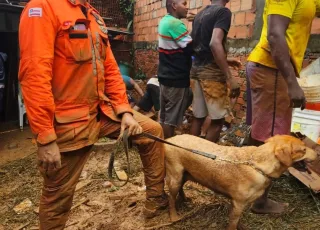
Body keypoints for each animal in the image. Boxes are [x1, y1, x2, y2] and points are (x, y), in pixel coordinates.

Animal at [165, 135, 318, 230]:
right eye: (303, 149)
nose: (317, 154)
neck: (258, 165)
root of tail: (169, 139)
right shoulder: (238, 204)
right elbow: (233, 224)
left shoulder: (243, 204)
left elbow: (239, 221)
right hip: (175, 177)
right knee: (171, 199)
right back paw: (174, 216)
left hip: (185, 175)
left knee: (180, 190)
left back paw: (185, 199)